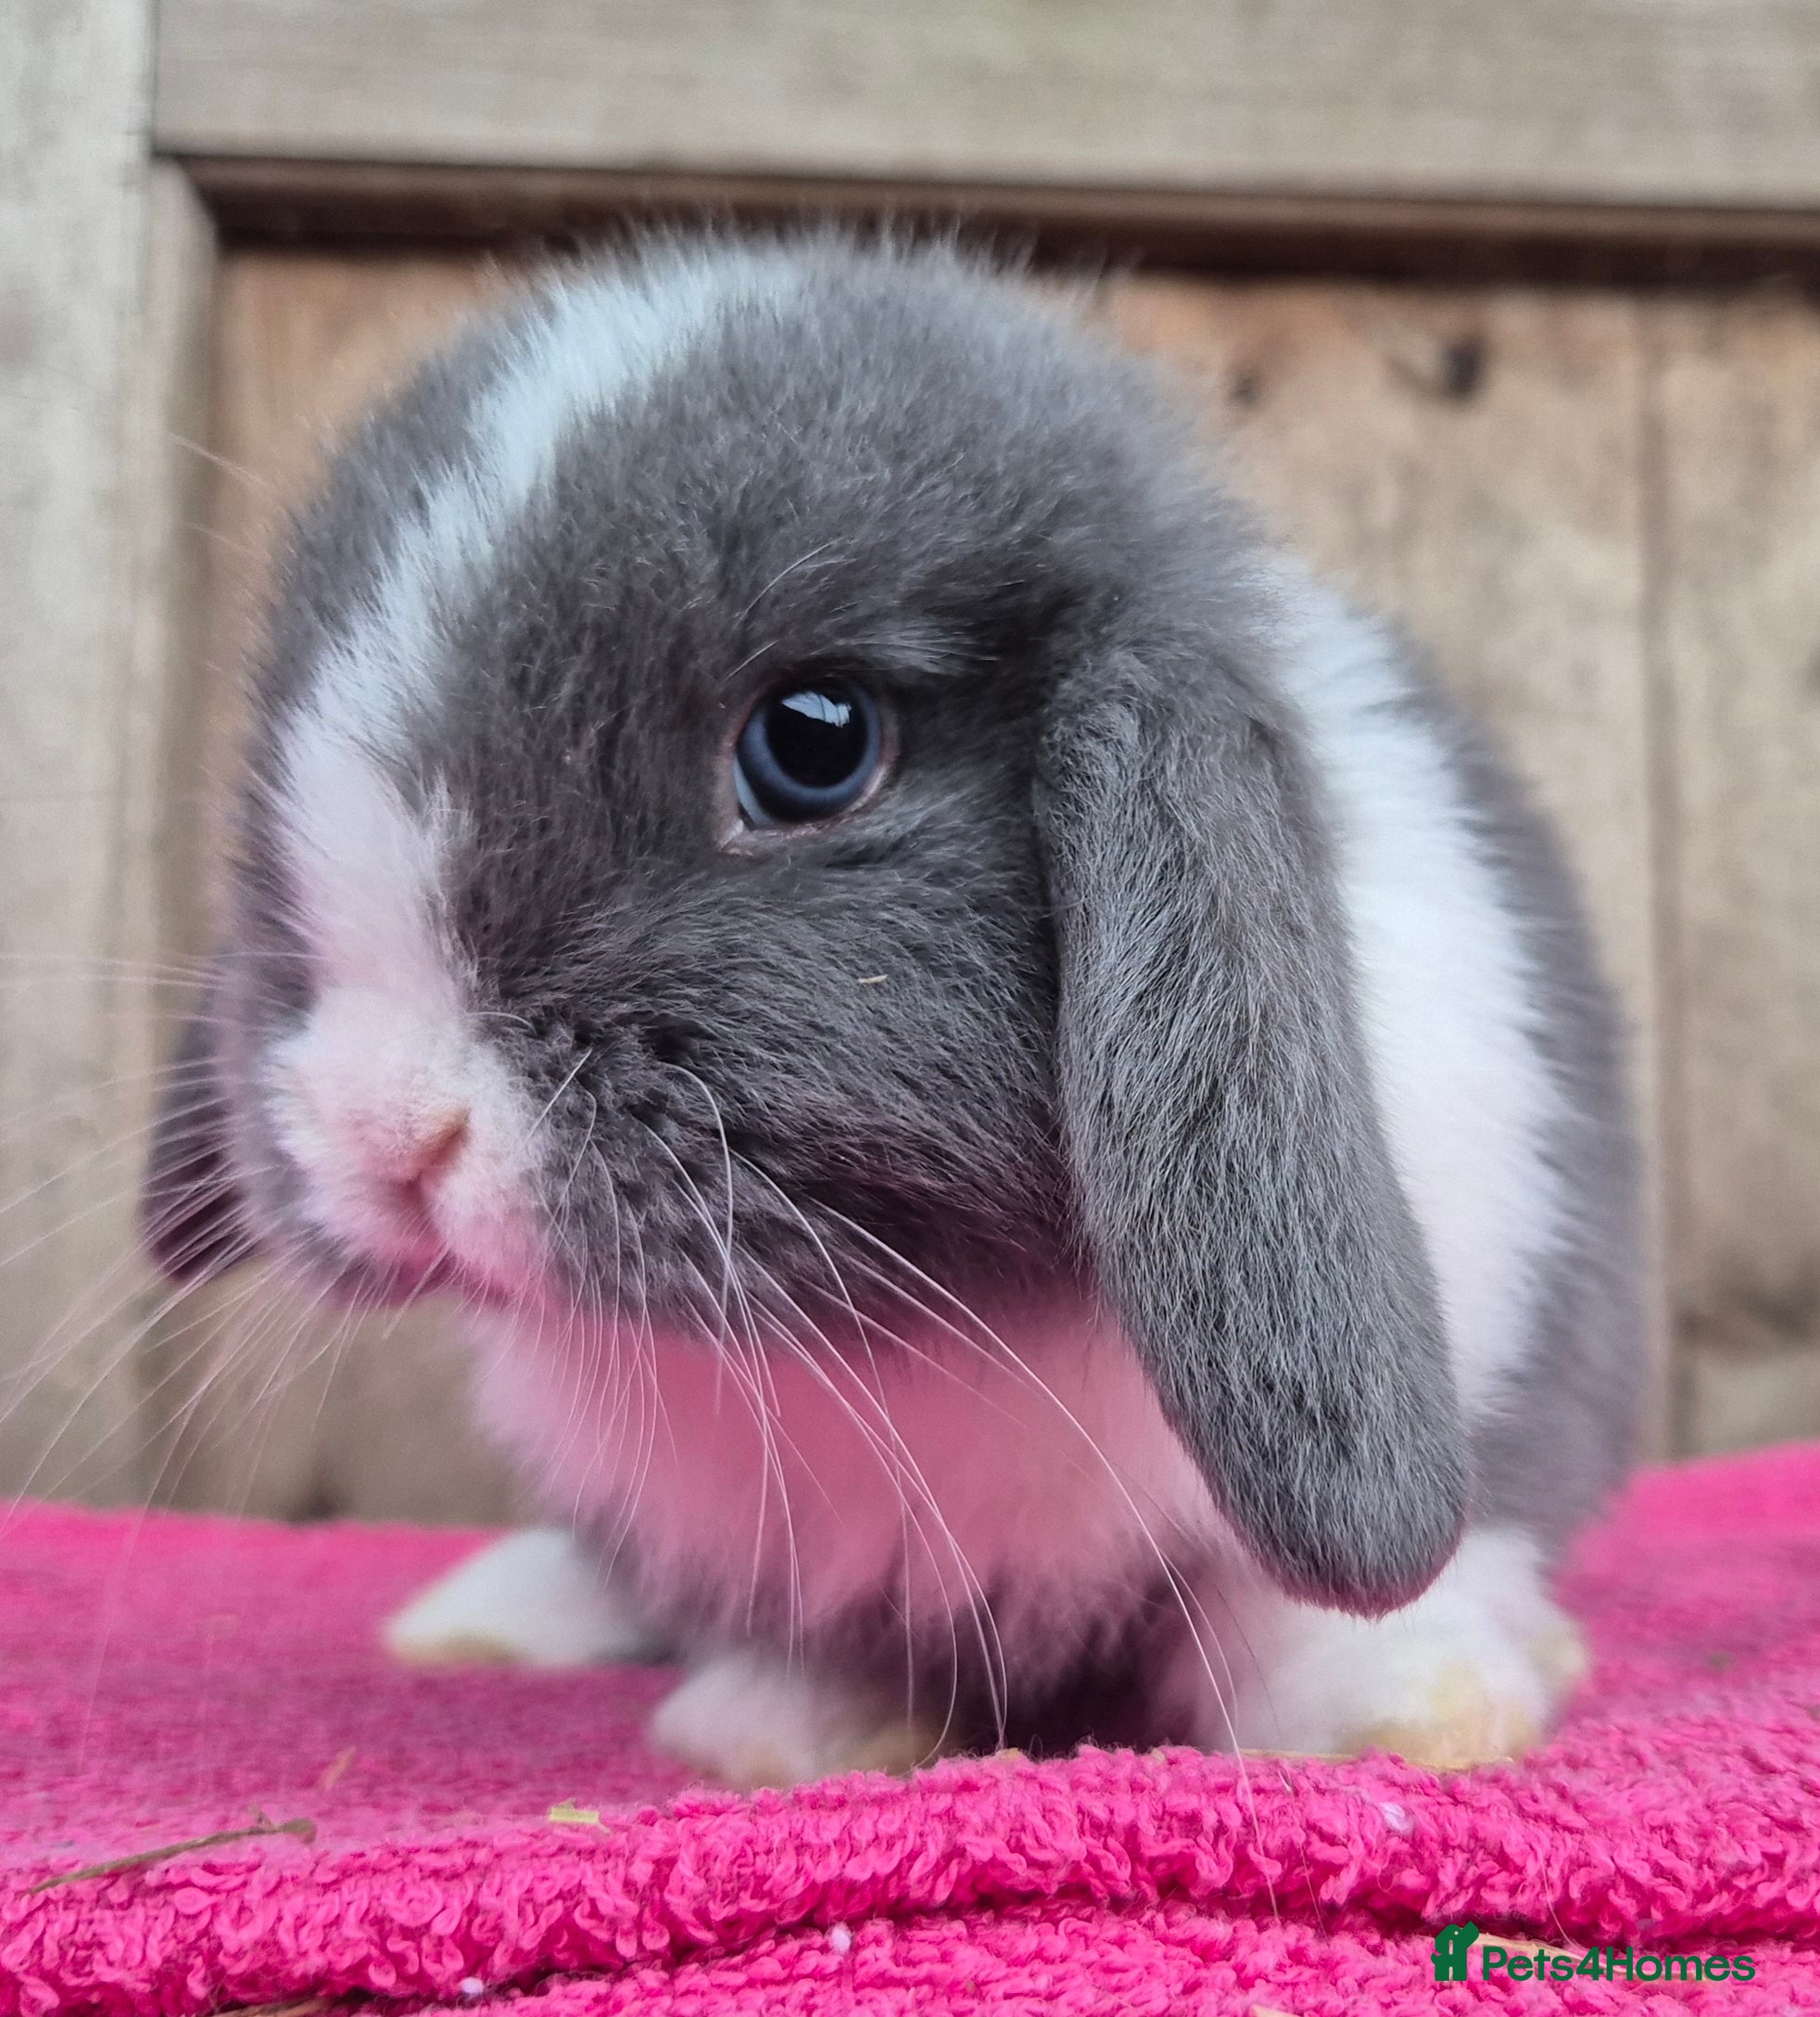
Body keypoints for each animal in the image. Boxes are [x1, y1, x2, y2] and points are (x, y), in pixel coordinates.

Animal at [141, 235, 1645, 1789]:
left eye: (815, 742)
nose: (382, 1130)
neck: (923, 1317)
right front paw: (784, 1737)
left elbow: (1298, 1609)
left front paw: (1403, 1725)